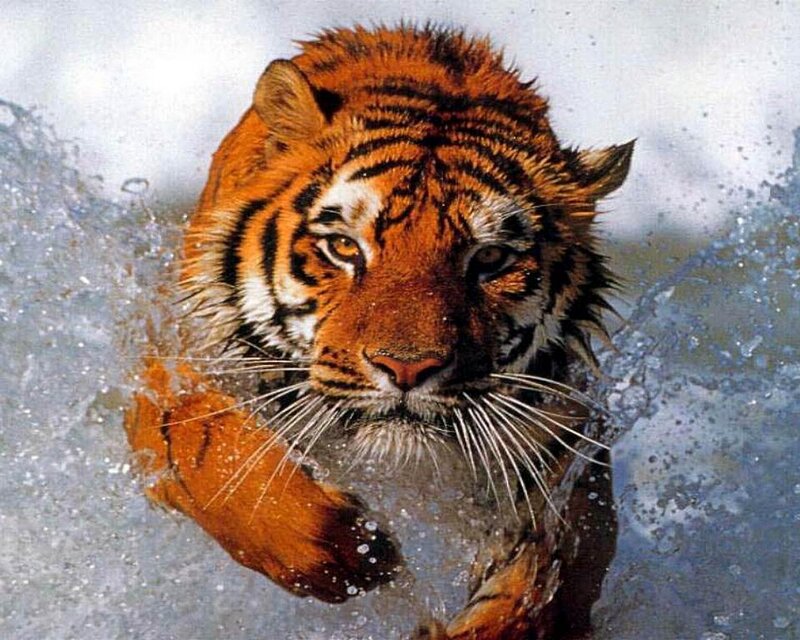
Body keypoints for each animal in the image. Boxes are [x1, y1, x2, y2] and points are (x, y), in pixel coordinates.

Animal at [124, 24, 632, 639]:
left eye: (489, 259)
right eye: (345, 247)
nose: (408, 368)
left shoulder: (565, 462)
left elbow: (540, 586)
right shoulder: (175, 367)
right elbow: (214, 454)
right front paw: (354, 553)